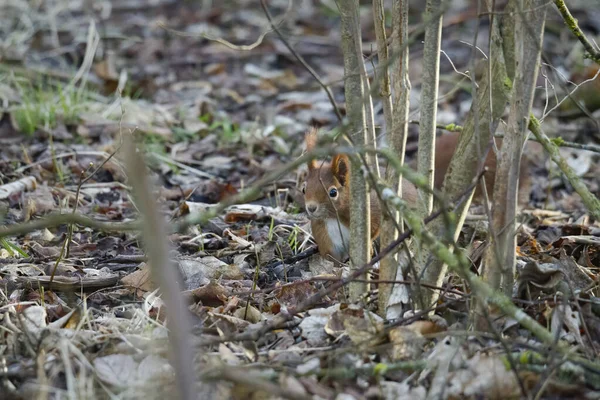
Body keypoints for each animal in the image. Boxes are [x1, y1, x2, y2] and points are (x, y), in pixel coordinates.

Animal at [304, 128, 536, 264]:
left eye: (333, 192)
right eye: (304, 188)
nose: (310, 208)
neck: (333, 217)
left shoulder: (373, 213)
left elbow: (374, 231)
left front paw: (368, 249)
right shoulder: (325, 235)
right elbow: (330, 256)